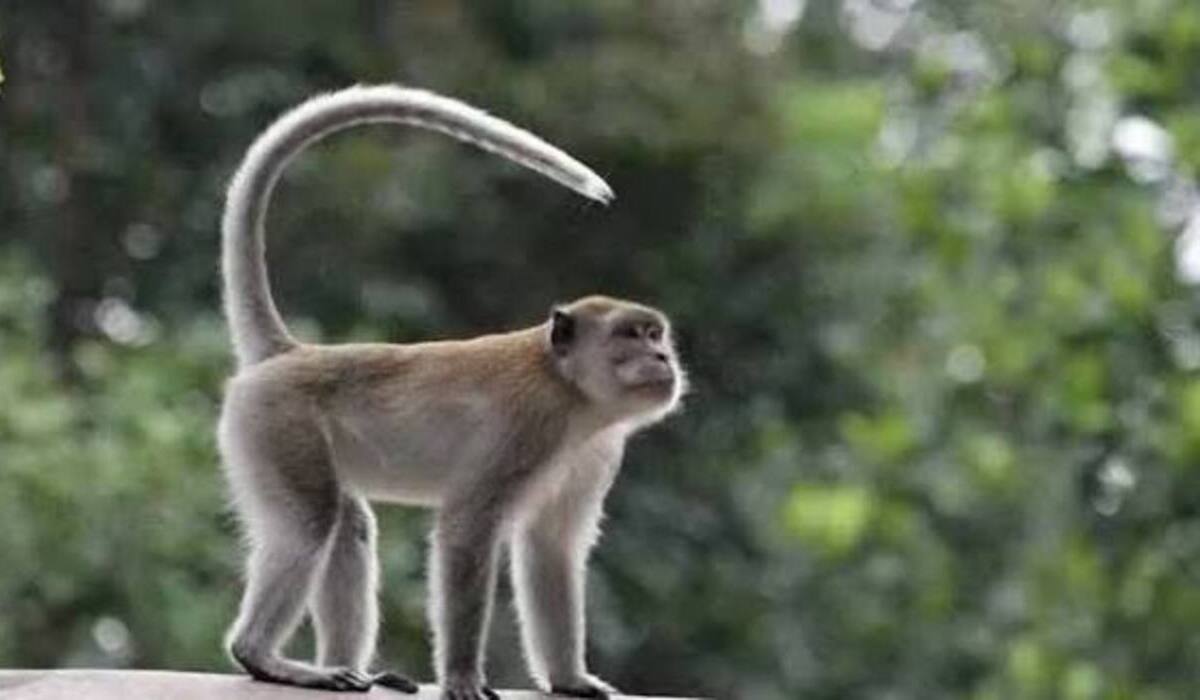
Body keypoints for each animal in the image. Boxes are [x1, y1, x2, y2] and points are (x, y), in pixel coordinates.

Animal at [217, 85, 686, 700]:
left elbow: (551, 547)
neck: (571, 394)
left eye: (656, 334)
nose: (663, 359)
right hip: (276, 423)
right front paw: (463, 678)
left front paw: (569, 679)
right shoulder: (525, 425)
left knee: (346, 526)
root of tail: (290, 354)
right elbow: (466, 531)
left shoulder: (598, 451)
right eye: (630, 336)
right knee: (311, 521)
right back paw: (263, 656)